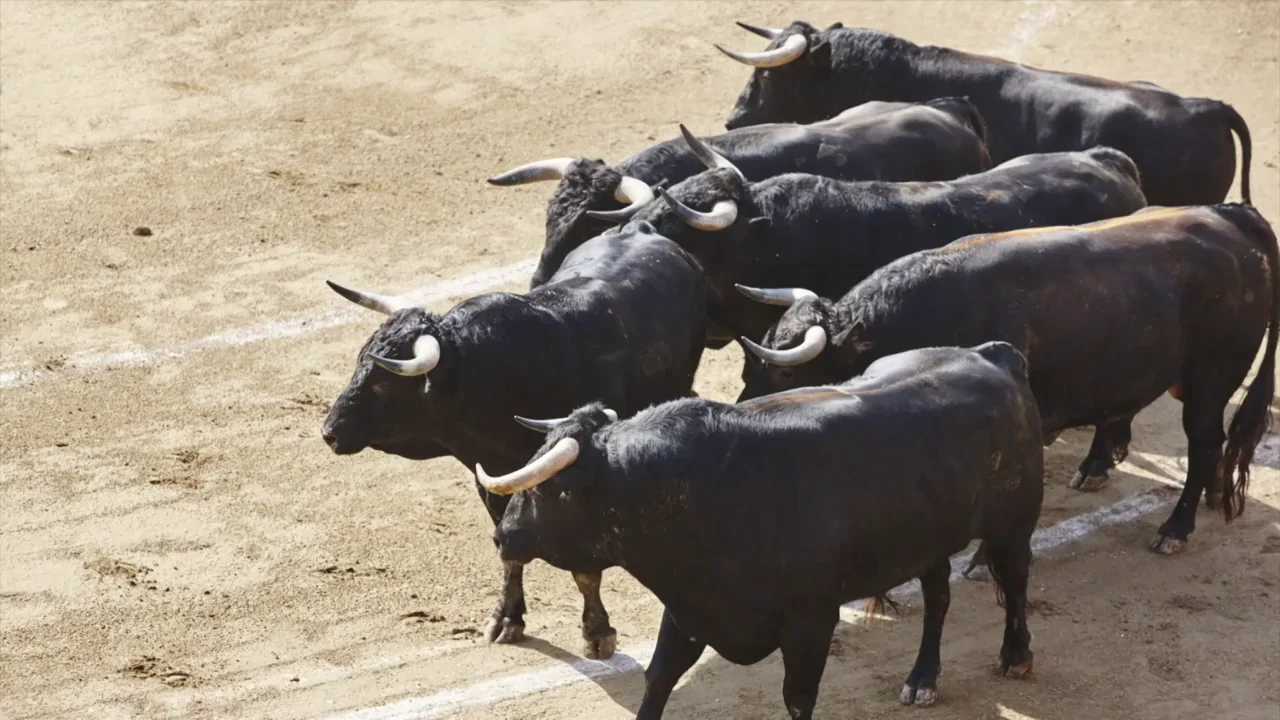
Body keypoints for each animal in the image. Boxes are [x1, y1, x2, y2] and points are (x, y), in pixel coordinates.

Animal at [320, 222, 707, 659]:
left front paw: (597, 632)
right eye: (359, 361)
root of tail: (639, 227)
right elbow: (508, 552)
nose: (330, 432)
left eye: (384, 382)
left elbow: (584, 569)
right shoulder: (492, 478)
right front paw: (506, 619)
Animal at [482, 342, 1045, 719]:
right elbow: (658, 678)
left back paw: (1015, 657)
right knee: (937, 597)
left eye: (545, 491)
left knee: (1015, 580)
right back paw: (923, 678)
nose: (503, 535)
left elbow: (797, 698)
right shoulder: (690, 609)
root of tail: (993, 356)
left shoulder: (810, 622)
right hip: (926, 535)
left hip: (1013, 523)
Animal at [737, 204, 1278, 557]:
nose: (745, 412)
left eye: (784, 369)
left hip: (1211, 376)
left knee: (1204, 441)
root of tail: (1231, 218)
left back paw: (1177, 527)